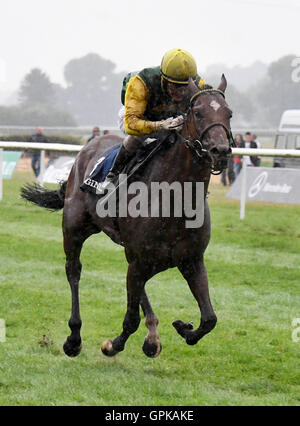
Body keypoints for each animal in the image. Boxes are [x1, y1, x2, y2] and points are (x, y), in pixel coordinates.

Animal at [21, 75, 234, 358]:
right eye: (198, 113)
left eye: (229, 113)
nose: (220, 151)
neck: (175, 199)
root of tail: (87, 147)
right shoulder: (141, 261)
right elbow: (130, 319)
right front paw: (112, 345)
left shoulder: (191, 260)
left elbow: (209, 318)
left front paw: (183, 327)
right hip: (74, 228)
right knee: (73, 270)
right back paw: (74, 337)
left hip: (130, 250)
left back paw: (152, 335)